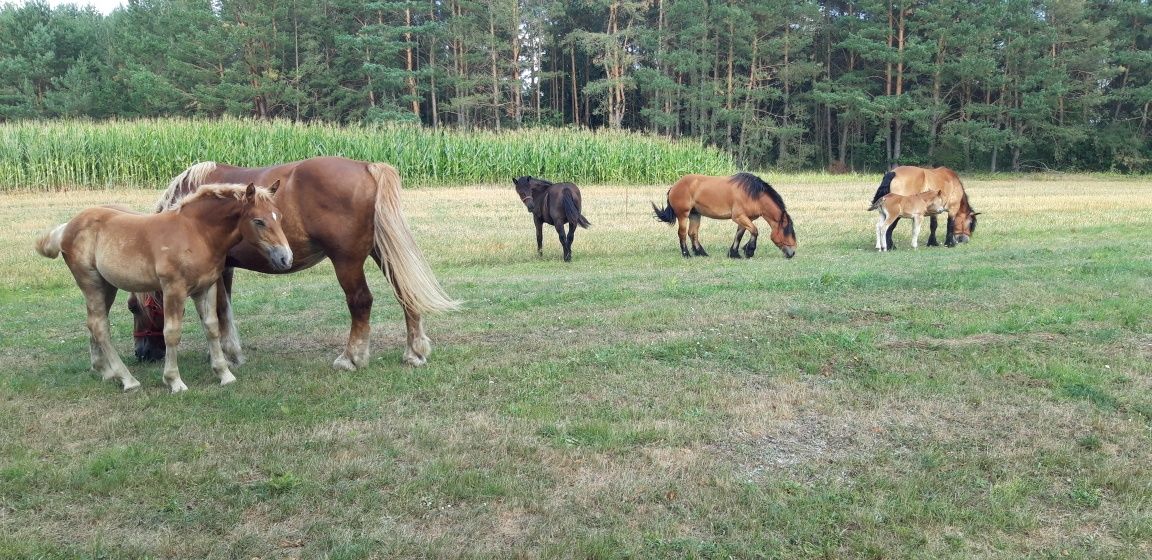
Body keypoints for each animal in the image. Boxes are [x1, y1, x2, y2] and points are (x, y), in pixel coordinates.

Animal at [34, 184, 292, 394]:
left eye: (278, 216)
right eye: (258, 221)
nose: (286, 258)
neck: (197, 232)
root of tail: (66, 227)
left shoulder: (206, 287)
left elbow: (212, 328)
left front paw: (224, 374)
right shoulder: (173, 290)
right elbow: (172, 333)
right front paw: (174, 381)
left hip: (107, 286)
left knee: (94, 323)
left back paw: (106, 372)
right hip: (91, 283)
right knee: (100, 326)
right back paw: (128, 380)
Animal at [132, 155, 460, 368]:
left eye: (134, 308)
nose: (141, 352)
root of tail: (367, 167)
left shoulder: (218, 268)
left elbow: (220, 309)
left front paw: (229, 353)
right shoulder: (225, 268)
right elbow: (224, 308)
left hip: (347, 260)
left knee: (360, 302)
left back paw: (351, 358)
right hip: (381, 252)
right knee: (405, 293)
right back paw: (414, 352)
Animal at [654, 171, 797, 259]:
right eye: (788, 232)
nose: (792, 253)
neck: (754, 195)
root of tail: (674, 186)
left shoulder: (745, 219)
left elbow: (739, 235)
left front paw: (734, 253)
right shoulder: (739, 217)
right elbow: (755, 231)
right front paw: (749, 250)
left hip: (695, 214)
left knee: (693, 234)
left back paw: (701, 253)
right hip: (683, 215)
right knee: (682, 234)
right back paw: (686, 254)